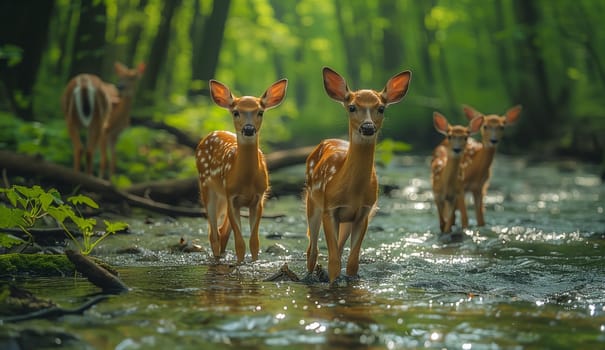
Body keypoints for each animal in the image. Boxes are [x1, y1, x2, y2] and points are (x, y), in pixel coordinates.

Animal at [195, 77, 286, 262]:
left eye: (260, 112)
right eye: (236, 112)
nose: (249, 129)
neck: (247, 181)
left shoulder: (259, 198)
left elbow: (254, 242)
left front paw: (254, 262)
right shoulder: (232, 197)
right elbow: (239, 244)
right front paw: (239, 263)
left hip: (221, 196)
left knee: (221, 232)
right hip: (207, 188)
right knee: (213, 234)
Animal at [304, 67, 412, 284]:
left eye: (381, 108)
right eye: (352, 107)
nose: (368, 127)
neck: (352, 192)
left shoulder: (363, 212)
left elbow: (352, 262)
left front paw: (349, 280)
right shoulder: (330, 208)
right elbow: (334, 262)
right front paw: (332, 281)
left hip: (346, 219)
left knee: (336, 248)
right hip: (312, 201)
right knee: (312, 249)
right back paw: (310, 275)